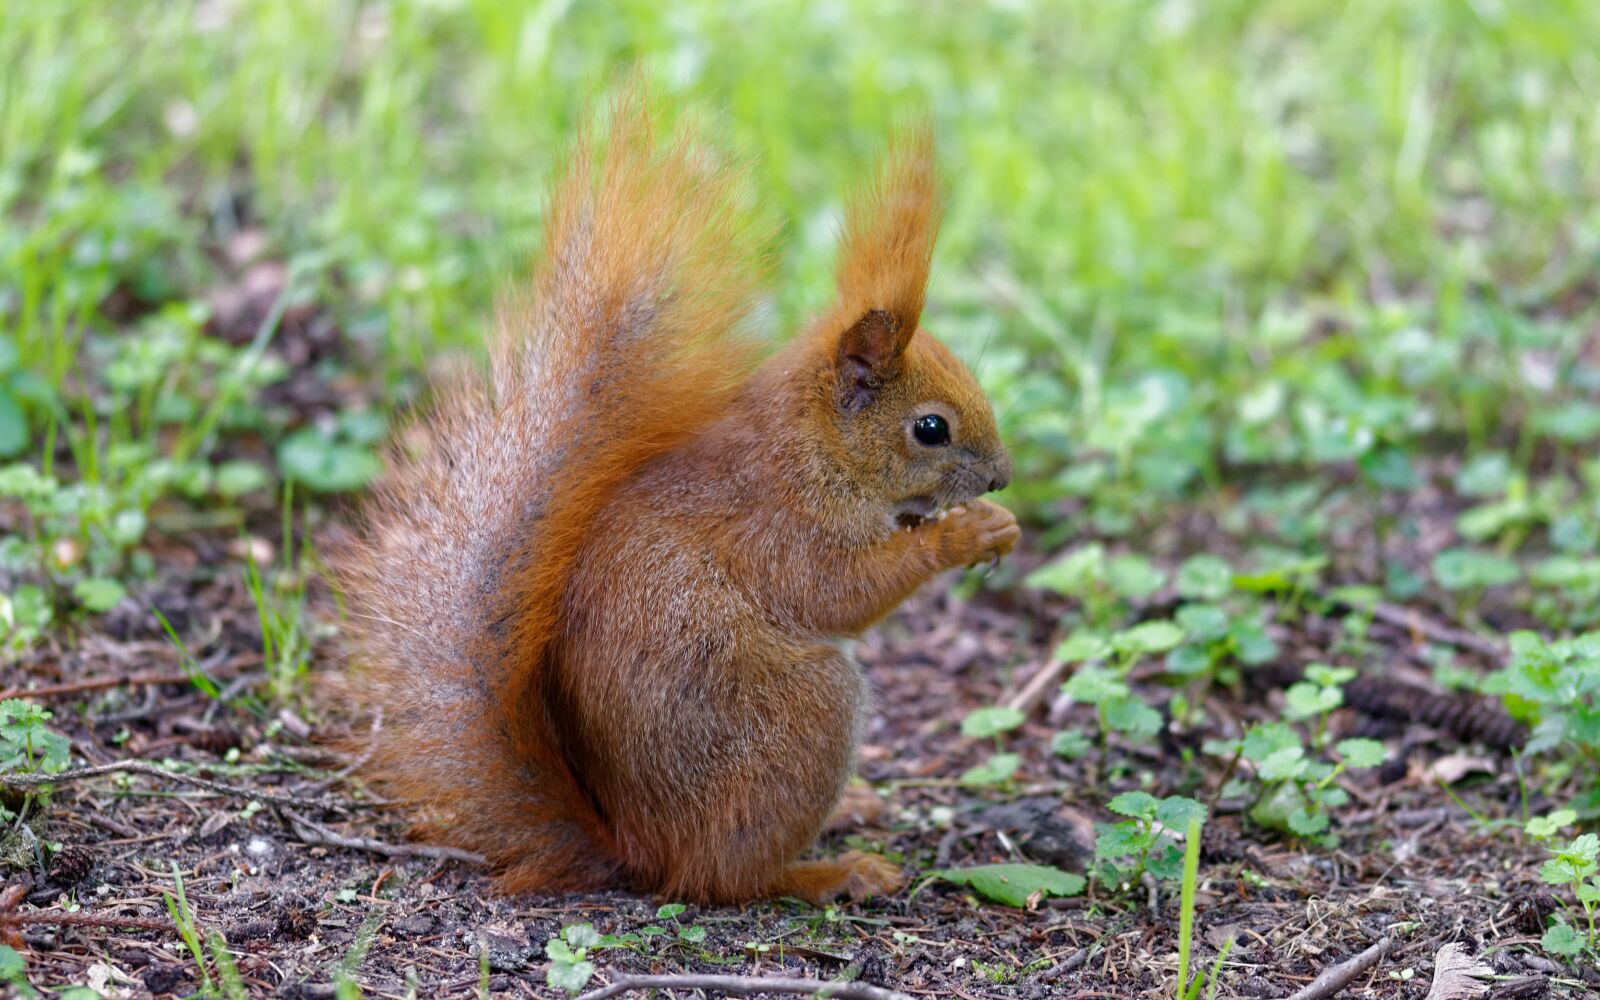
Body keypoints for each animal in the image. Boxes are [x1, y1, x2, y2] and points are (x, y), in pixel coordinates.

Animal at [340, 93, 1019, 905]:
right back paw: (834, 869)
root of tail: (638, 849)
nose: (1001, 477)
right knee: (730, 874)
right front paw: (962, 535)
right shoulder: (782, 527)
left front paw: (994, 525)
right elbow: (840, 592)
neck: (812, 449)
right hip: (806, 717)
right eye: (930, 428)